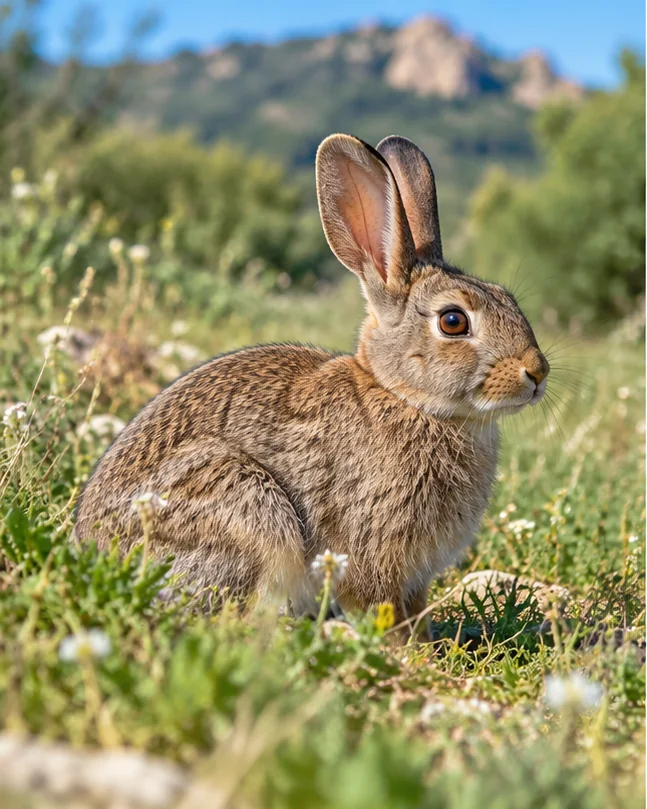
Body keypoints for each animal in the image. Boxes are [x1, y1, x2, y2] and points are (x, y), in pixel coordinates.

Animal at [74, 133, 549, 628]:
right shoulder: (369, 547)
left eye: (508, 299)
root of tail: (96, 553)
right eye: (453, 321)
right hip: (242, 505)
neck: (407, 399)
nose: (537, 371)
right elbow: (379, 608)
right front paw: (402, 646)